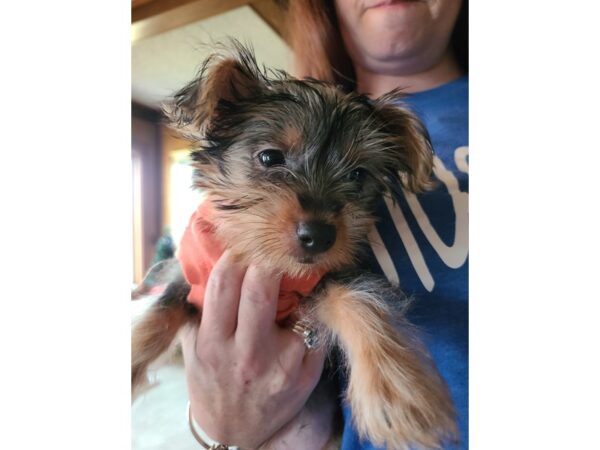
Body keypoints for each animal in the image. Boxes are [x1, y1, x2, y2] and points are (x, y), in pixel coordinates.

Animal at [131, 42, 454, 450]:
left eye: (358, 175)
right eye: (270, 157)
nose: (319, 235)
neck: (268, 261)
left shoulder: (324, 278)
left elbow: (361, 301)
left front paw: (399, 393)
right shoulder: (189, 279)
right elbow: (156, 316)